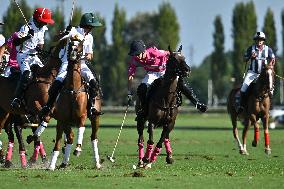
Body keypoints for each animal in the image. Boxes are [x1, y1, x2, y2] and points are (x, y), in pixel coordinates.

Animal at [48, 38, 102, 171]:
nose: (73, 52)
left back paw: (97, 163)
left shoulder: (82, 116)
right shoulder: (62, 119)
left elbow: (81, 128)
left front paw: (78, 149)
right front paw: (51, 165)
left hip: (95, 118)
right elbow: (58, 142)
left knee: (94, 137)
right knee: (70, 137)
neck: (73, 89)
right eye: (70, 44)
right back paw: (64, 162)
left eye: (81, 46)